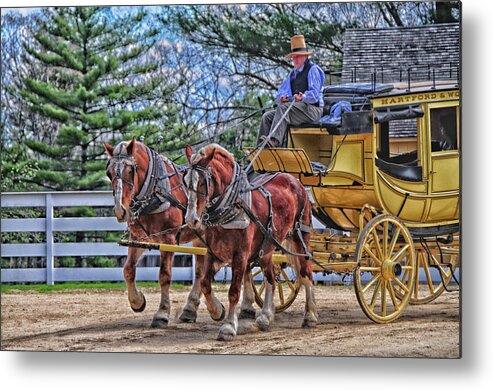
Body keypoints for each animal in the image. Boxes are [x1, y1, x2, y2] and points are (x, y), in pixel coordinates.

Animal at [104, 139, 208, 328]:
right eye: (109, 173)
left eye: (130, 170)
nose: (120, 210)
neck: (154, 191)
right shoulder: (138, 238)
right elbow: (128, 269)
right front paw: (137, 301)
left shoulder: (168, 239)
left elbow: (164, 275)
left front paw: (162, 313)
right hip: (199, 238)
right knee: (199, 272)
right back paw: (190, 310)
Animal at [183, 144, 318, 342]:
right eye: (185, 181)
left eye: (203, 182)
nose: (191, 219)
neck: (232, 206)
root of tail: (292, 178)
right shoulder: (213, 252)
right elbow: (205, 283)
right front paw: (217, 311)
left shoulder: (240, 255)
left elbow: (233, 291)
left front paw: (228, 327)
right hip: (267, 248)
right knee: (271, 277)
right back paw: (266, 316)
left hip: (300, 236)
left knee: (306, 271)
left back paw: (310, 316)